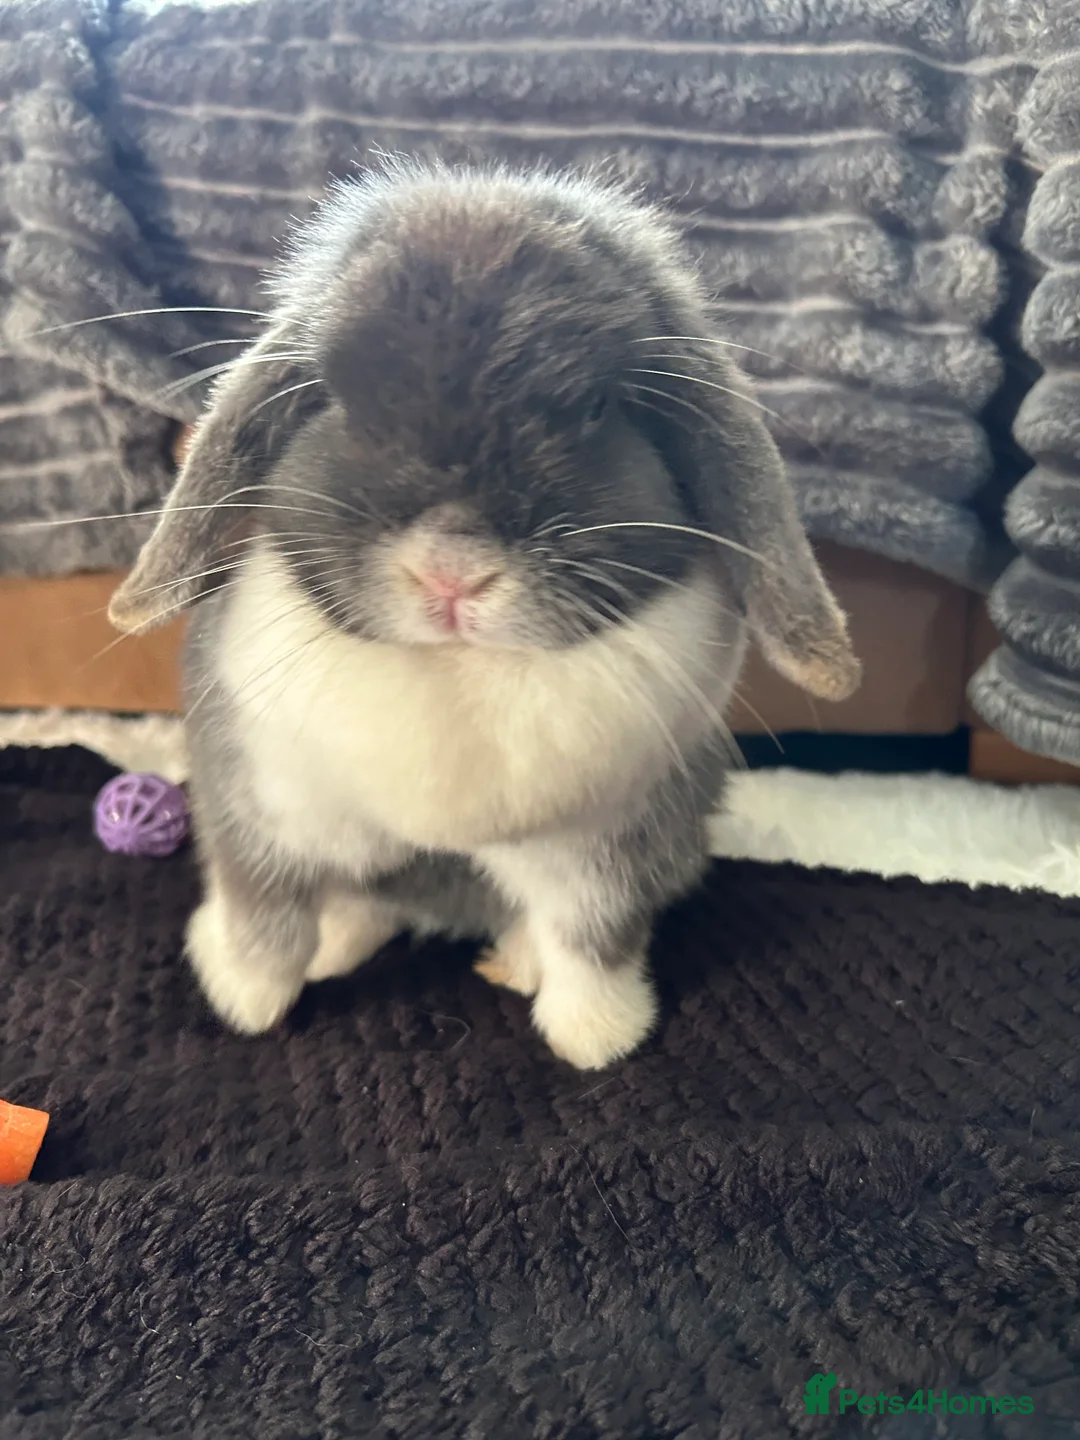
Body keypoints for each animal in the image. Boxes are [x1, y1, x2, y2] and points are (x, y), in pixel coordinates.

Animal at [108, 161, 860, 1070]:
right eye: (336, 400)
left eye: (597, 406)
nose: (451, 571)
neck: (459, 669)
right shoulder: (263, 814)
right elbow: (267, 921)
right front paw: (244, 1003)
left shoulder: (611, 850)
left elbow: (592, 942)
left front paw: (594, 1041)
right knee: (357, 905)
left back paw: (514, 963)